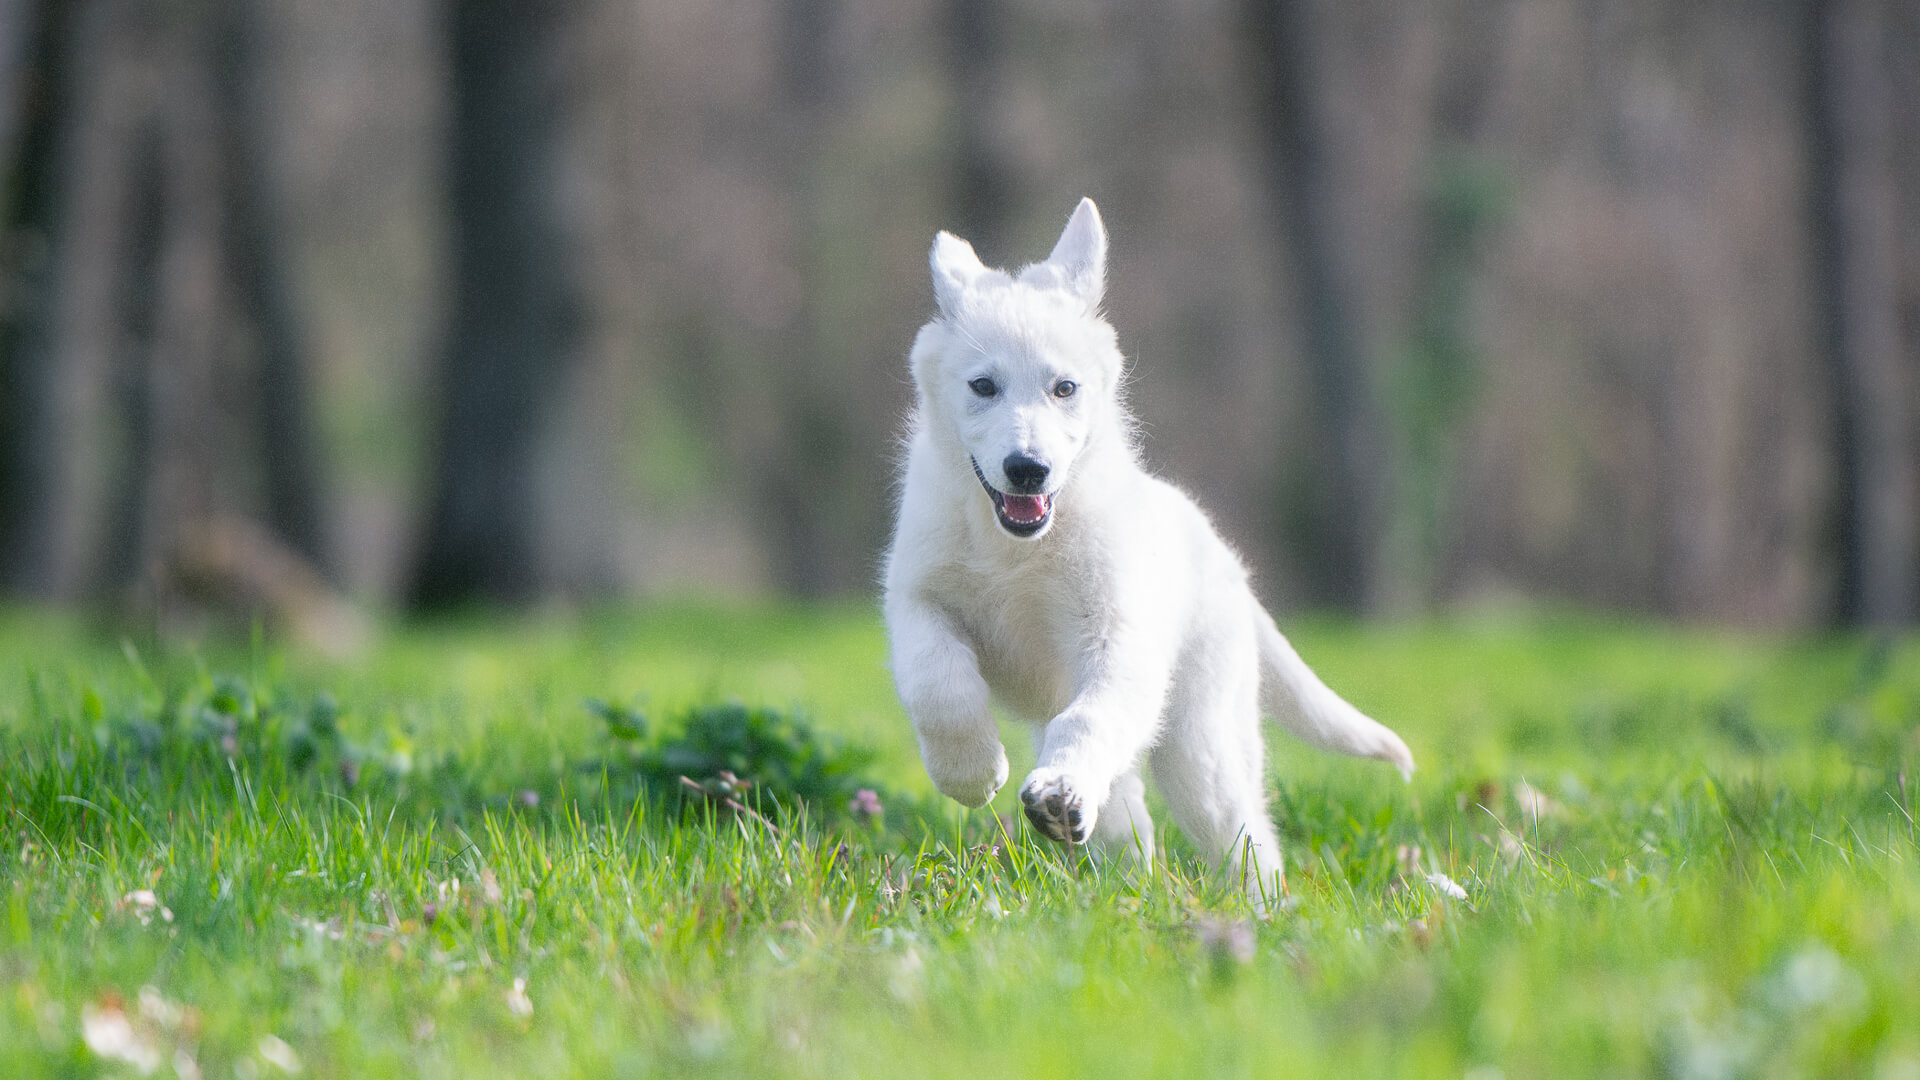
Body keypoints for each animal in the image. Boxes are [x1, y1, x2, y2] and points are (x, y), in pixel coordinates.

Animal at [883, 197, 1413, 887]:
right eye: (983, 386)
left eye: (1064, 388)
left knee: (1245, 834)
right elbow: (937, 683)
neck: (1018, 552)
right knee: (1128, 813)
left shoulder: (1119, 639)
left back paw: (1251, 901)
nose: (1028, 469)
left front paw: (1054, 787)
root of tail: (1221, 555)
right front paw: (971, 772)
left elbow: (1091, 717)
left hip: (1200, 744)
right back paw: (1121, 873)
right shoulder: (917, 600)